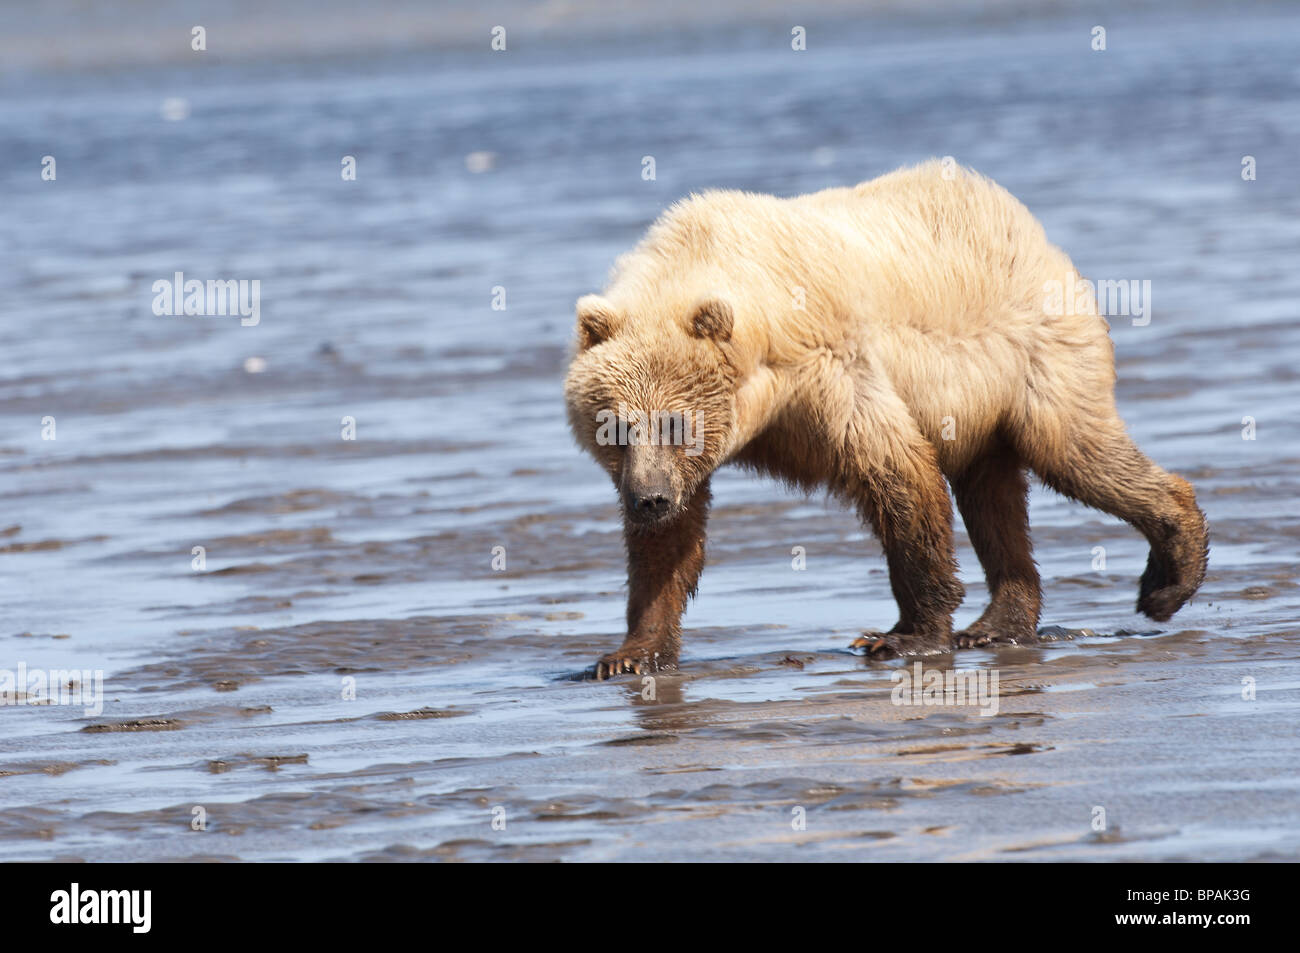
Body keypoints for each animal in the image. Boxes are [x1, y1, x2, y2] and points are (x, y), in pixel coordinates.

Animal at [564, 160, 1209, 679]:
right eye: (616, 428)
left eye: (677, 424)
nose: (648, 499)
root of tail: (1024, 223)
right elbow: (670, 546)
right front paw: (628, 653)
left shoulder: (833, 371)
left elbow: (896, 475)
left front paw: (901, 636)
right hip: (980, 410)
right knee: (995, 498)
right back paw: (1000, 622)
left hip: (1034, 357)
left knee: (1077, 453)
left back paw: (1168, 576)